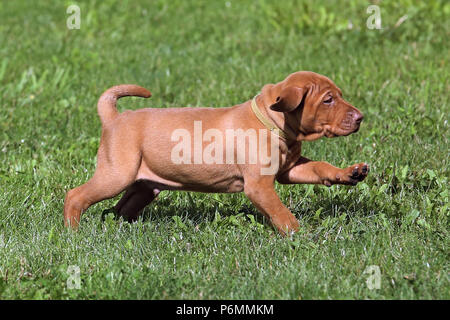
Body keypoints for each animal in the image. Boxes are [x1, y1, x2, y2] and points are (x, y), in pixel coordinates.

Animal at [66, 71, 370, 235]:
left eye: (339, 95)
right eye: (328, 100)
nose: (361, 118)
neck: (273, 123)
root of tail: (114, 118)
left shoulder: (289, 170)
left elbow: (320, 166)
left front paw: (349, 173)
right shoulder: (259, 186)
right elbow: (281, 213)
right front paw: (299, 235)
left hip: (144, 186)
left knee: (118, 210)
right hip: (117, 174)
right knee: (75, 196)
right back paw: (73, 233)